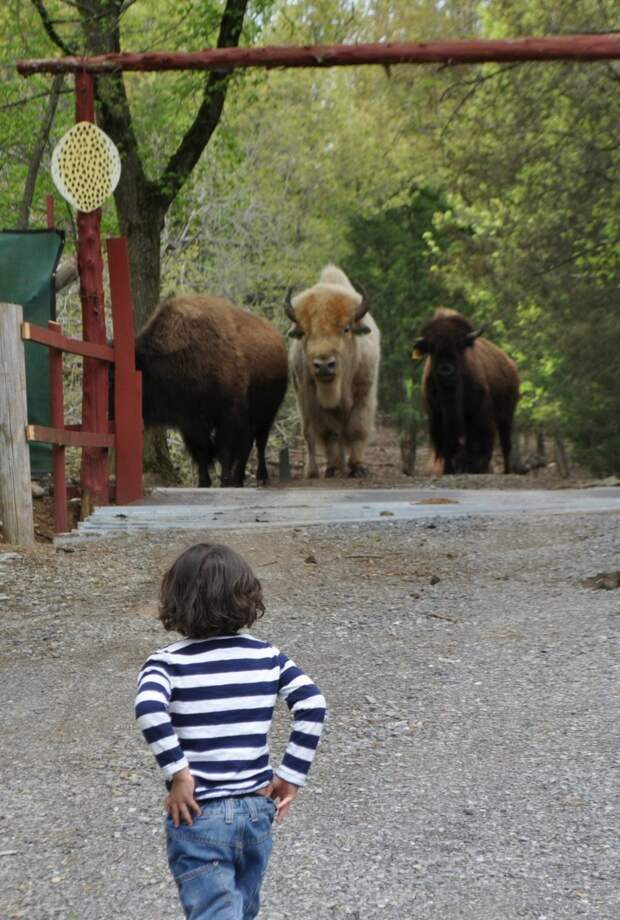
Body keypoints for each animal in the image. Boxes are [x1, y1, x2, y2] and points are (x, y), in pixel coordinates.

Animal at [136, 294, 288, 488]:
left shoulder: (227, 415)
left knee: (260, 441)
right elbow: (202, 450)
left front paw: (224, 481)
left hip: (266, 413)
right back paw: (238, 479)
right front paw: (204, 482)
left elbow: (224, 449)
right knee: (248, 442)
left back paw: (261, 477)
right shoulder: (191, 422)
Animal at [284, 264, 380, 478]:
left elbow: (357, 429)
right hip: (302, 401)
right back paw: (313, 471)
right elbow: (330, 433)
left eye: (346, 329)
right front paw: (333, 467)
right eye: (304, 332)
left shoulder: (364, 394)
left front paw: (358, 467)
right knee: (309, 436)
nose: (324, 365)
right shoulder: (315, 401)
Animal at [414, 310, 520, 474]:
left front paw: (476, 468)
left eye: (459, 346)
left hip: (506, 416)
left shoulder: (479, 414)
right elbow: (447, 445)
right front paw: (449, 469)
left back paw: (505, 470)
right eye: (432, 347)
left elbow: (478, 443)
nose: (446, 370)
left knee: (505, 445)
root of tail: (511, 365)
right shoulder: (437, 417)